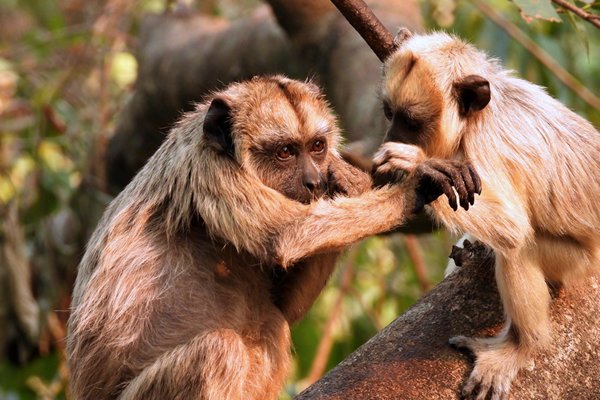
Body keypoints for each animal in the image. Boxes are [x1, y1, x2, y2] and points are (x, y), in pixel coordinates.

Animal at [67, 76, 478, 400]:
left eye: (316, 147)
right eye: (284, 152)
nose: (313, 180)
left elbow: (285, 305)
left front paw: (346, 179)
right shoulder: (209, 168)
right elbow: (285, 236)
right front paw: (416, 184)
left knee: (271, 323)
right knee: (219, 350)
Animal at [372, 29, 600, 398]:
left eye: (411, 122)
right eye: (389, 113)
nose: (390, 136)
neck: (477, 118)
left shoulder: (484, 146)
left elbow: (512, 227)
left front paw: (422, 167)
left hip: (582, 262)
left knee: (521, 249)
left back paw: (522, 346)